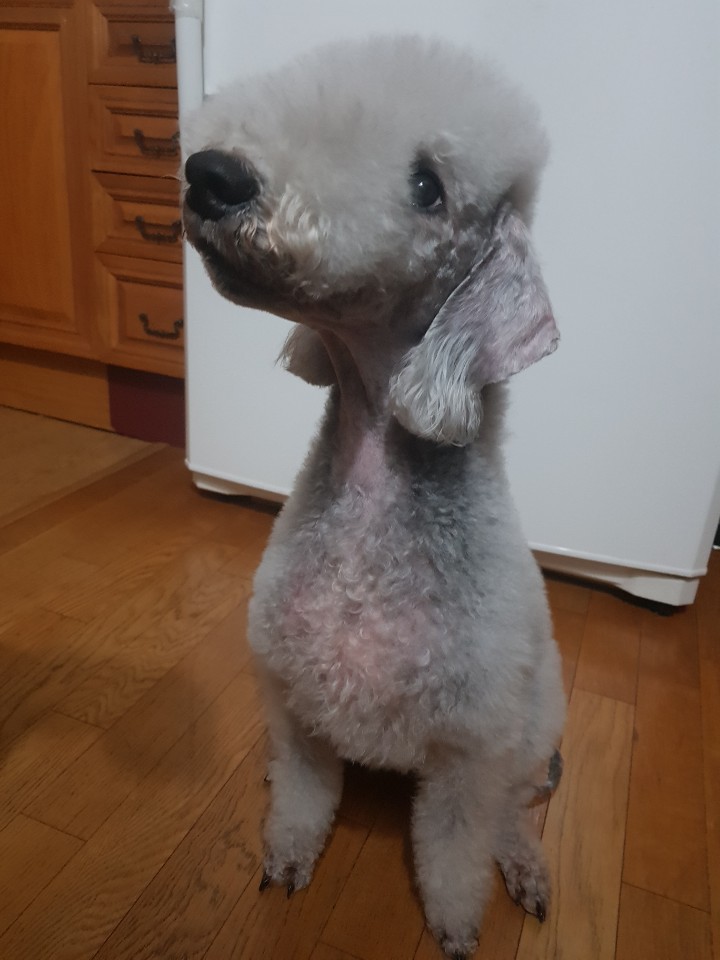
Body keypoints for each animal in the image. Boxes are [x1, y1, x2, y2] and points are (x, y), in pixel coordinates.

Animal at [183, 35, 566, 959]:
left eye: (429, 187)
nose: (212, 174)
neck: (368, 510)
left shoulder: (469, 751)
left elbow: (456, 849)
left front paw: (457, 927)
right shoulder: (296, 706)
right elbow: (302, 795)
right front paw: (286, 858)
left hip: (532, 730)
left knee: (511, 812)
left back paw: (525, 869)